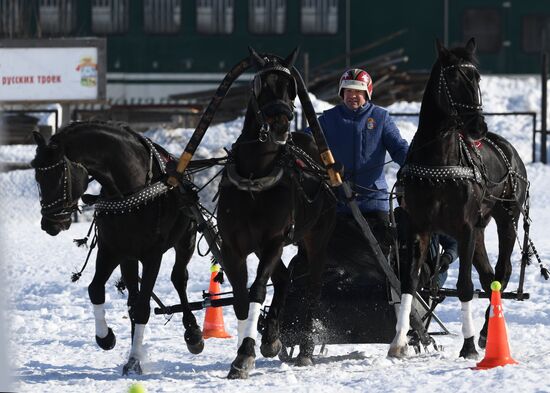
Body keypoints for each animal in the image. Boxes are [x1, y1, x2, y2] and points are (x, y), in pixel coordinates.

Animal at [30, 121, 203, 374]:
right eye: (37, 176)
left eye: (60, 175)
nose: (49, 224)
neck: (132, 188)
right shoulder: (112, 250)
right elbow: (95, 290)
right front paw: (106, 337)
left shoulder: (153, 255)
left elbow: (143, 307)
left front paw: (134, 360)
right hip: (129, 259)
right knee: (132, 297)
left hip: (186, 240)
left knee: (179, 278)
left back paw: (192, 332)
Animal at [217, 49, 336, 376]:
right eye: (261, 85)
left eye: (290, 87)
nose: (281, 125)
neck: (255, 175)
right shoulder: (233, 246)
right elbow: (241, 298)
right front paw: (248, 350)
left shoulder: (273, 240)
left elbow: (257, 290)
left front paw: (246, 353)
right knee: (284, 279)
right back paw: (272, 336)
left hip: (318, 236)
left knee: (312, 287)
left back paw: (305, 349)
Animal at [390, 37, 532, 358]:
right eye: (453, 78)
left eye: (477, 77)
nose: (478, 126)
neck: (439, 160)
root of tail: (507, 149)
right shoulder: (418, 227)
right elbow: (409, 282)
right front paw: (400, 342)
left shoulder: (463, 227)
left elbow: (465, 286)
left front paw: (467, 346)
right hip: (479, 230)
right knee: (489, 277)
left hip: (506, 219)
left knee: (501, 272)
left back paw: (485, 332)